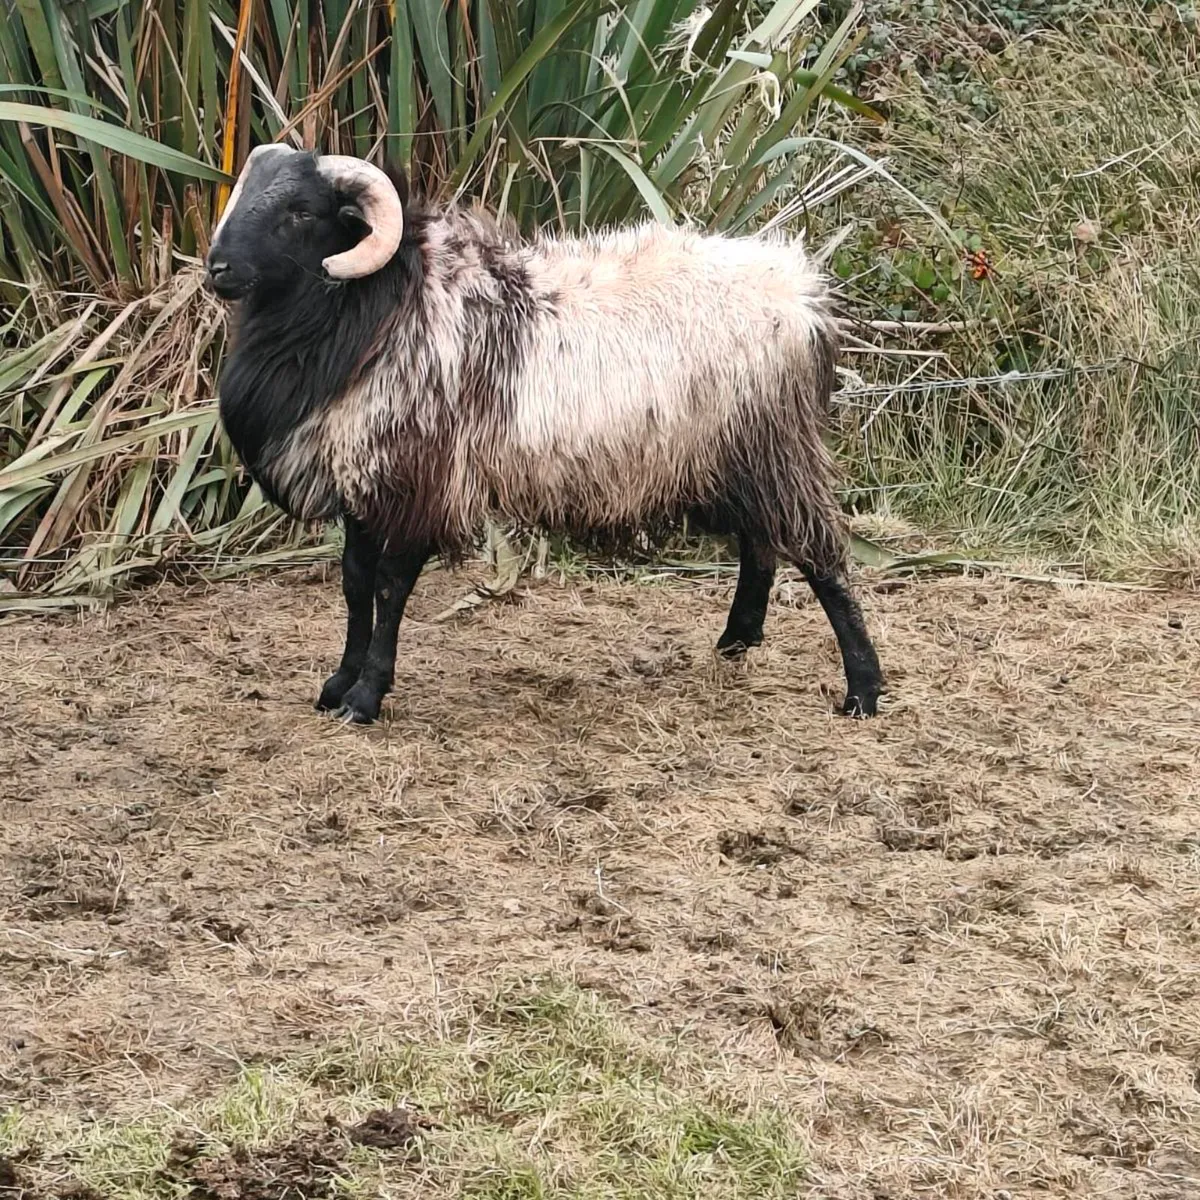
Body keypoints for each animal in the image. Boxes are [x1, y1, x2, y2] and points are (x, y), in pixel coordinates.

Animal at [205, 145, 884, 725]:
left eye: (301, 211)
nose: (217, 269)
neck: (378, 310)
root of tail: (802, 294)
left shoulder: (418, 481)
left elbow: (391, 591)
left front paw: (366, 697)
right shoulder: (361, 477)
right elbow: (353, 584)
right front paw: (337, 686)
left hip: (774, 447)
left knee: (821, 556)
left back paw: (863, 689)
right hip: (726, 457)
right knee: (760, 544)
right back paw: (737, 640)